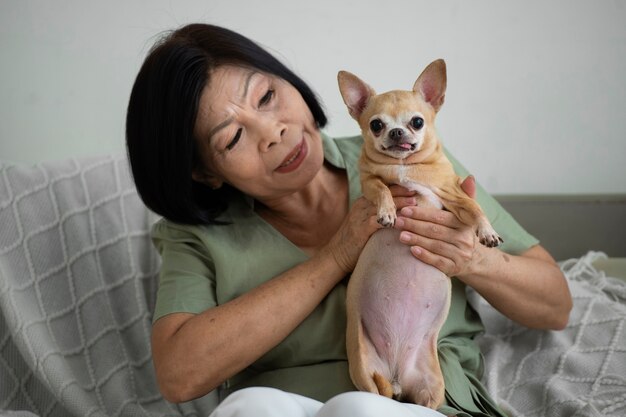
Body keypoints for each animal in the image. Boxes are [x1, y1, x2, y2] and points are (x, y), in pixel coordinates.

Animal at [336, 58, 502, 406]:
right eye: (376, 125)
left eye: (417, 122)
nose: (397, 131)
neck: (406, 165)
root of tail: (397, 377)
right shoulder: (369, 182)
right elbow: (382, 188)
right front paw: (387, 212)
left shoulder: (453, 194)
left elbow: (474, 208)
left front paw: (486, 231)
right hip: (365, 370)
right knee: (377, 393)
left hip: (431, 386)